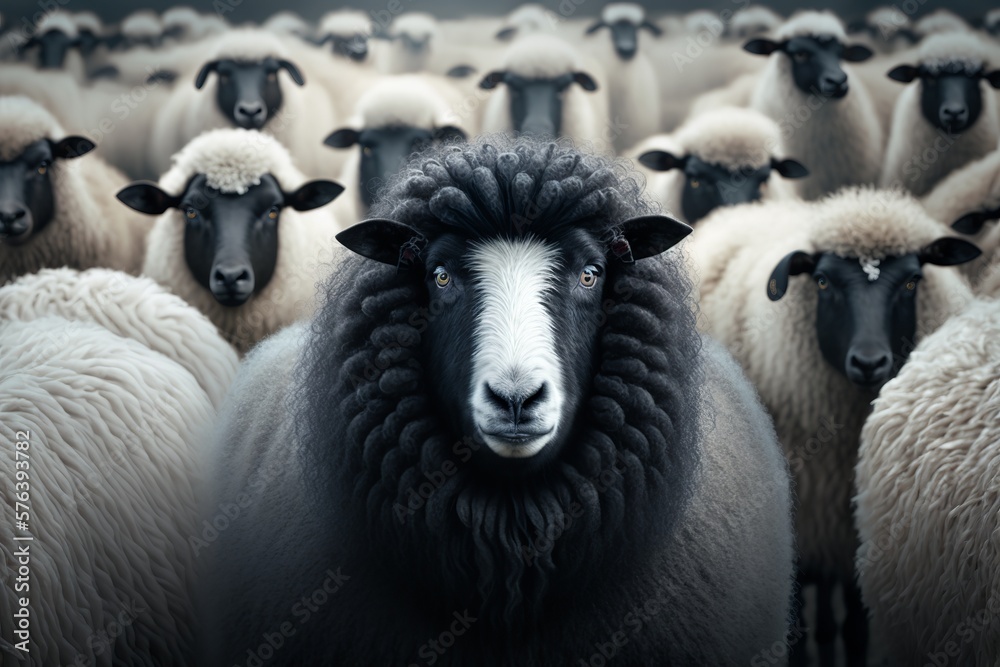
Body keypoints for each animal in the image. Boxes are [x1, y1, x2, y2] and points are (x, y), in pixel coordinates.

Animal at [689, 186, 981, 665]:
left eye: (912, 281)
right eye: (823, 281)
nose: (869, 361)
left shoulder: (853, 528)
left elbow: (856, 628)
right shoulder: (799, 521)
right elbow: (799, 629)